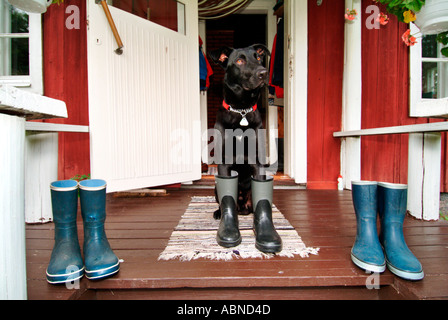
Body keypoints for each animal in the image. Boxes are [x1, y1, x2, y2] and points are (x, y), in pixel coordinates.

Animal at [210, 44, 270, 218]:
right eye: (239, 60)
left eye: (258, 57)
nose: (263, 73)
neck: (242, 110)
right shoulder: (224, 162)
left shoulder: (257, 161)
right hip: (215, 187)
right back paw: (219, 212)